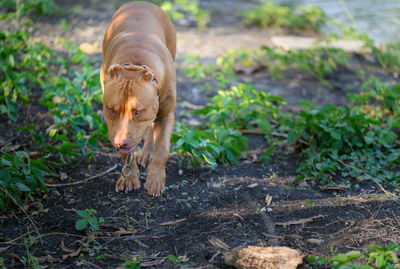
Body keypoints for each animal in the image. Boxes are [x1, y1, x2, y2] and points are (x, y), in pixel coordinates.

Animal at [100, 1, 175, 196]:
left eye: (138, 111)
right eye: (110, 109)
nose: (120, 142)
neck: (135, 64)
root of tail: (144, 3)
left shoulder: (166, 114)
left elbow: (162, 147)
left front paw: (156, 178)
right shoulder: (114, 125)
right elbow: (126, 153)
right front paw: (129, 177)